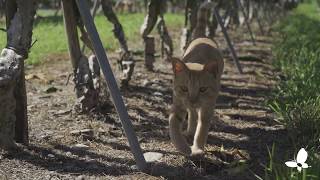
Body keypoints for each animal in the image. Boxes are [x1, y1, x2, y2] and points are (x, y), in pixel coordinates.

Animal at [169, 1, 224, 156]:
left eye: (203, 89)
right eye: (184, 88)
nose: (192, 100)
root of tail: (203, 36)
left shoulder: (208, 107)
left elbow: (202, 129)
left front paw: (197, 148)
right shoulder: (177, 105)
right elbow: (173, 126)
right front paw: (183, 147)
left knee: (195, 116)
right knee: (192, 114)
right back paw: (189, 131)